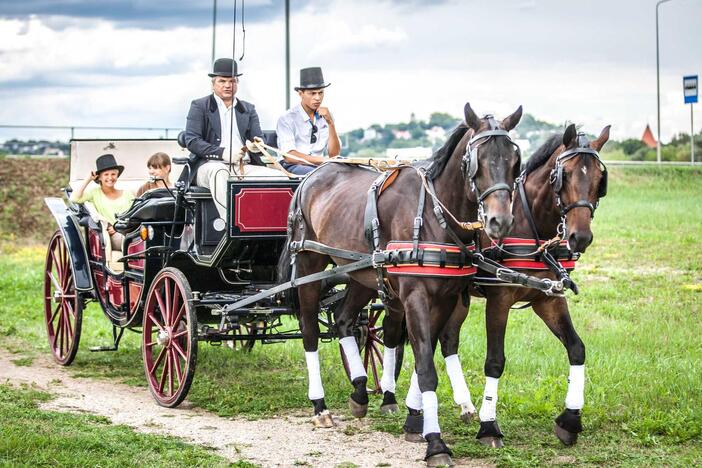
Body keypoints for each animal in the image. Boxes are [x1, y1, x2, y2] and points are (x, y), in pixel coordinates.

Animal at [280, 103, 524, 468]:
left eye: (514, 160)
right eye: (475, 160)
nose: (500, 221)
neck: (436, 215)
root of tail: (312, 175)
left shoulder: (447, 299)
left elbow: (430, 354)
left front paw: (413, 418)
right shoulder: (416, 298)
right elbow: (426, 369)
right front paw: (434, 442)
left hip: (362, 274)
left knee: (344, 320)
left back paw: (359, 391)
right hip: (310, 263)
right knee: (309, 330)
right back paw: (320, 405)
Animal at [390, 124, 612, 450]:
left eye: (599, 179)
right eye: (565, 175)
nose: (580, 236)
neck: (530, 224)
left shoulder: (548, 299)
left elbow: (576, 348)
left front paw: (570, 420)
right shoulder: (500, 298)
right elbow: (495, 361)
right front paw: (489, 425)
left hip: (456, 297)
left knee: (445, 340)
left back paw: (455, 405)